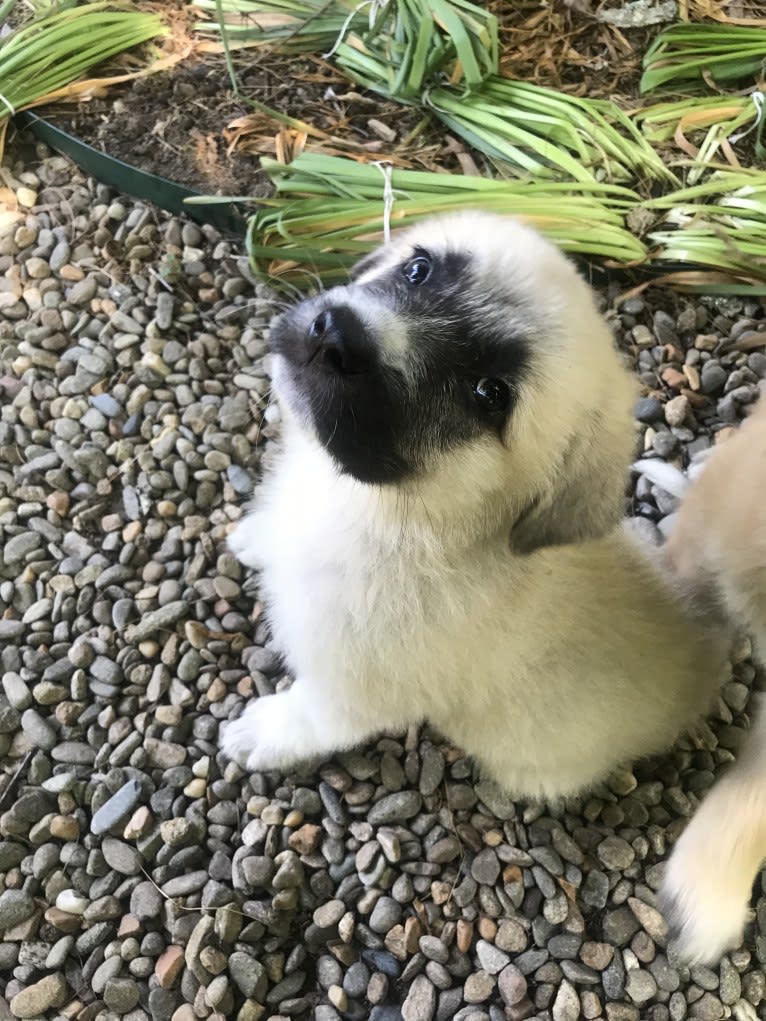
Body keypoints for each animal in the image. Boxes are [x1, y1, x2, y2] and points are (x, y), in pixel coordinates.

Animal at [223, 213, 731, 804]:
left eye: (489, 393)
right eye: (419, 269)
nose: (335, 336)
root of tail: (709, 634)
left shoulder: (349, 694)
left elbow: (306, 719)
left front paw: (258, 735)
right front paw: (257, 538)